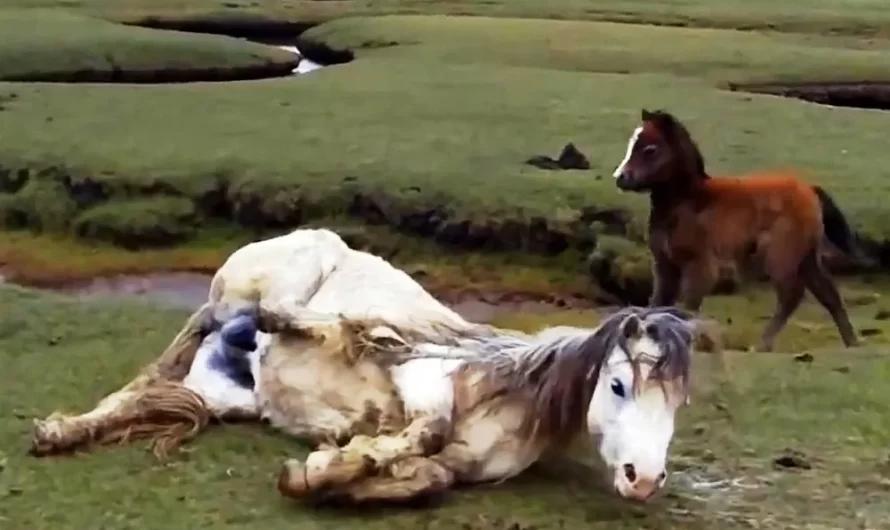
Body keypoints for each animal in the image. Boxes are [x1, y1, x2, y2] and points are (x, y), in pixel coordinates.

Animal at [29, 227, 716, 504]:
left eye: (678, 404)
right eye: (619, 385)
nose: (644, 480)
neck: (507, 396)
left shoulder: (455, 468)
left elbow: (426, 478)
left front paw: (338, 475)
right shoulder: (422, 383)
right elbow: (423, 425)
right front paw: (324, 466)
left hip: (228, 391)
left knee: (153, 390)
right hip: (234, 297)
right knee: (243, 326)